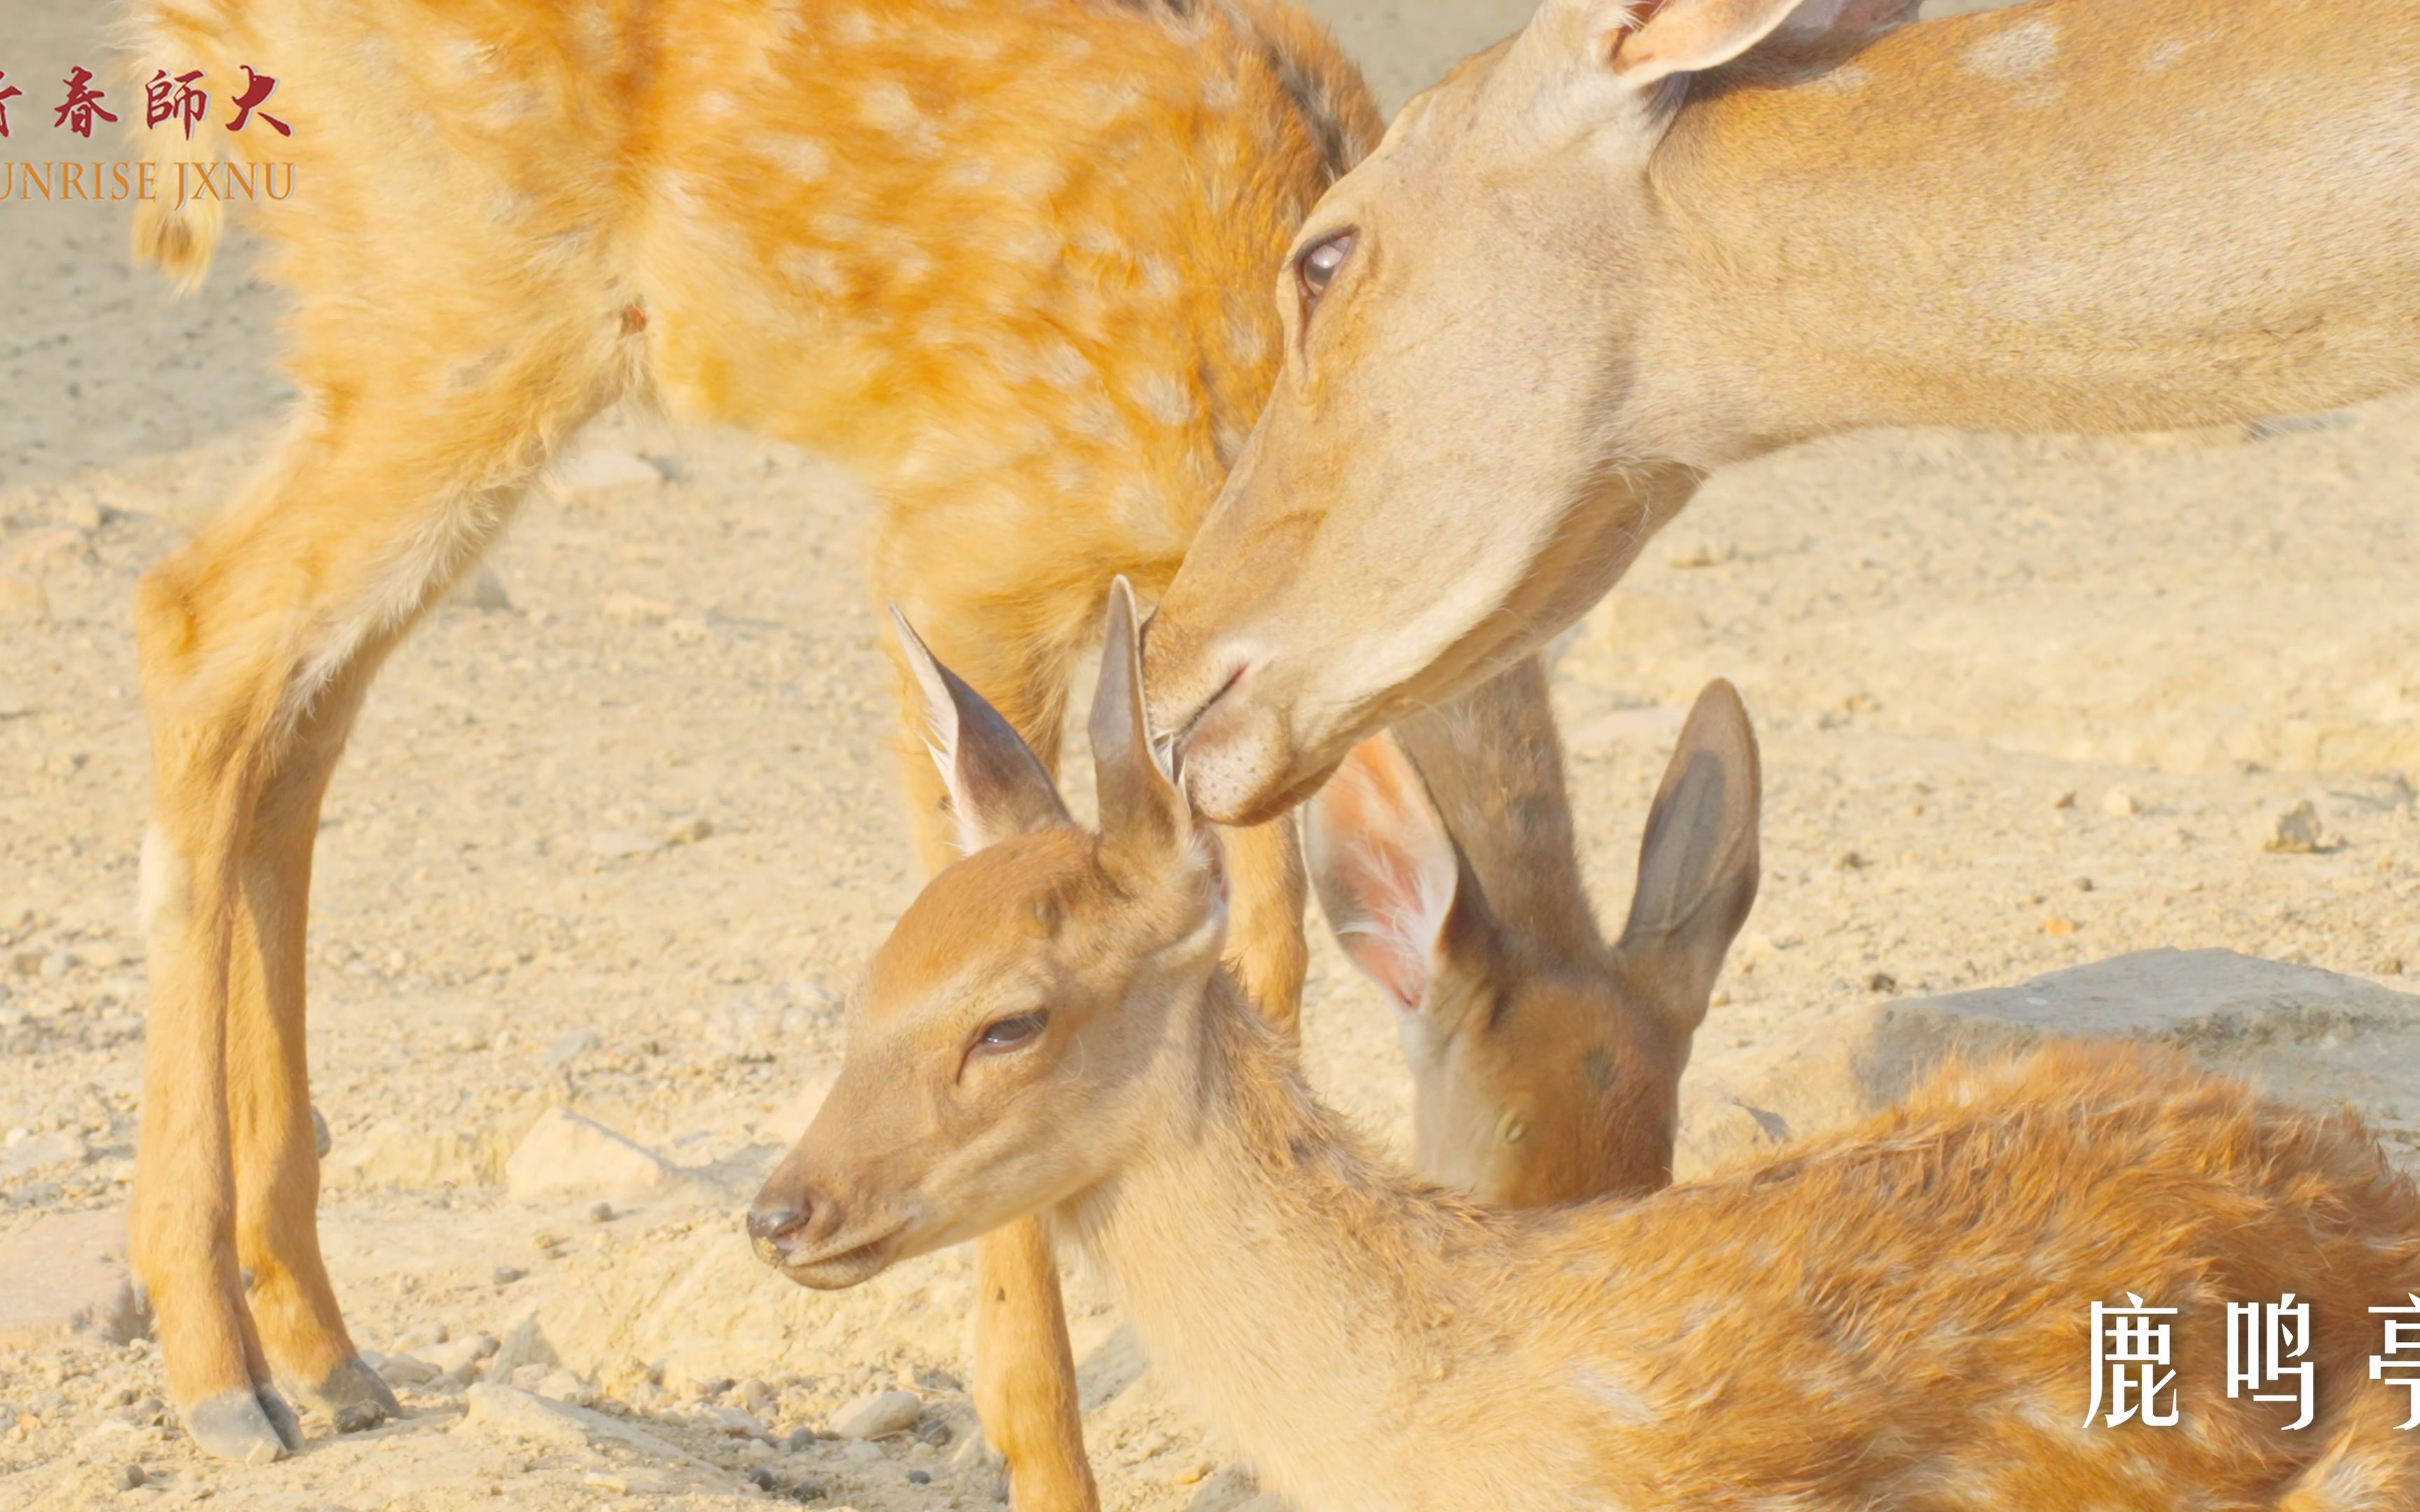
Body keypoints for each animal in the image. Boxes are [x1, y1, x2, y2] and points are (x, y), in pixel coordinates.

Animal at [118, 0, 1742, 1490]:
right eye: (1510, 1190)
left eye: (1648, 1176)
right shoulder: (974, 541)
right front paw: (1041, 1448)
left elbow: (1258, 944)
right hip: (459, 296)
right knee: (199, 624)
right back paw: (221, 1373)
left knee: (299, 711)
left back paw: (321, 1347)